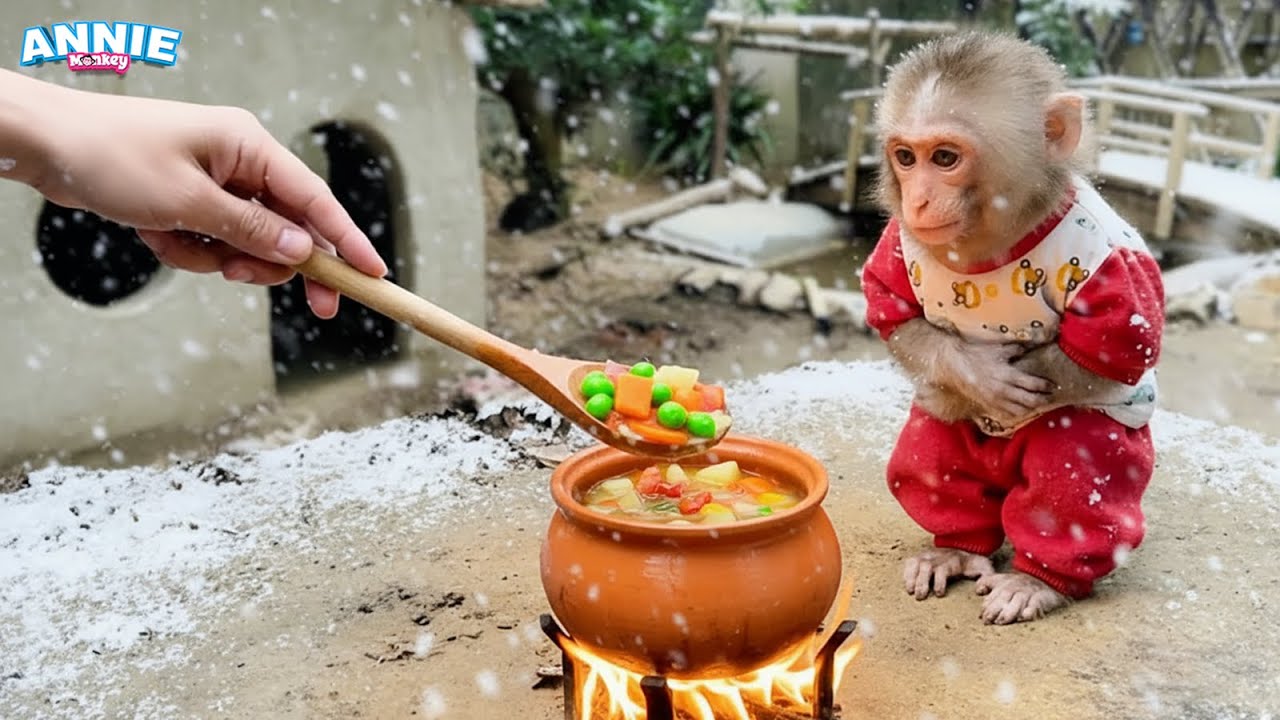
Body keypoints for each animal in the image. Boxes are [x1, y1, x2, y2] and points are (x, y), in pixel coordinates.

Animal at [860, 32, 1165, 625]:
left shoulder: (1114, 262)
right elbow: (893, 313)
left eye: (945, 158)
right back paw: (954, 546)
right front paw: (974, 378)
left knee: (1074, 455)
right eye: (906, 157)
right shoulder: (896, 240)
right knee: (930, 452)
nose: (918, 199)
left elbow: (1116, 351)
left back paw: (1038, 579)